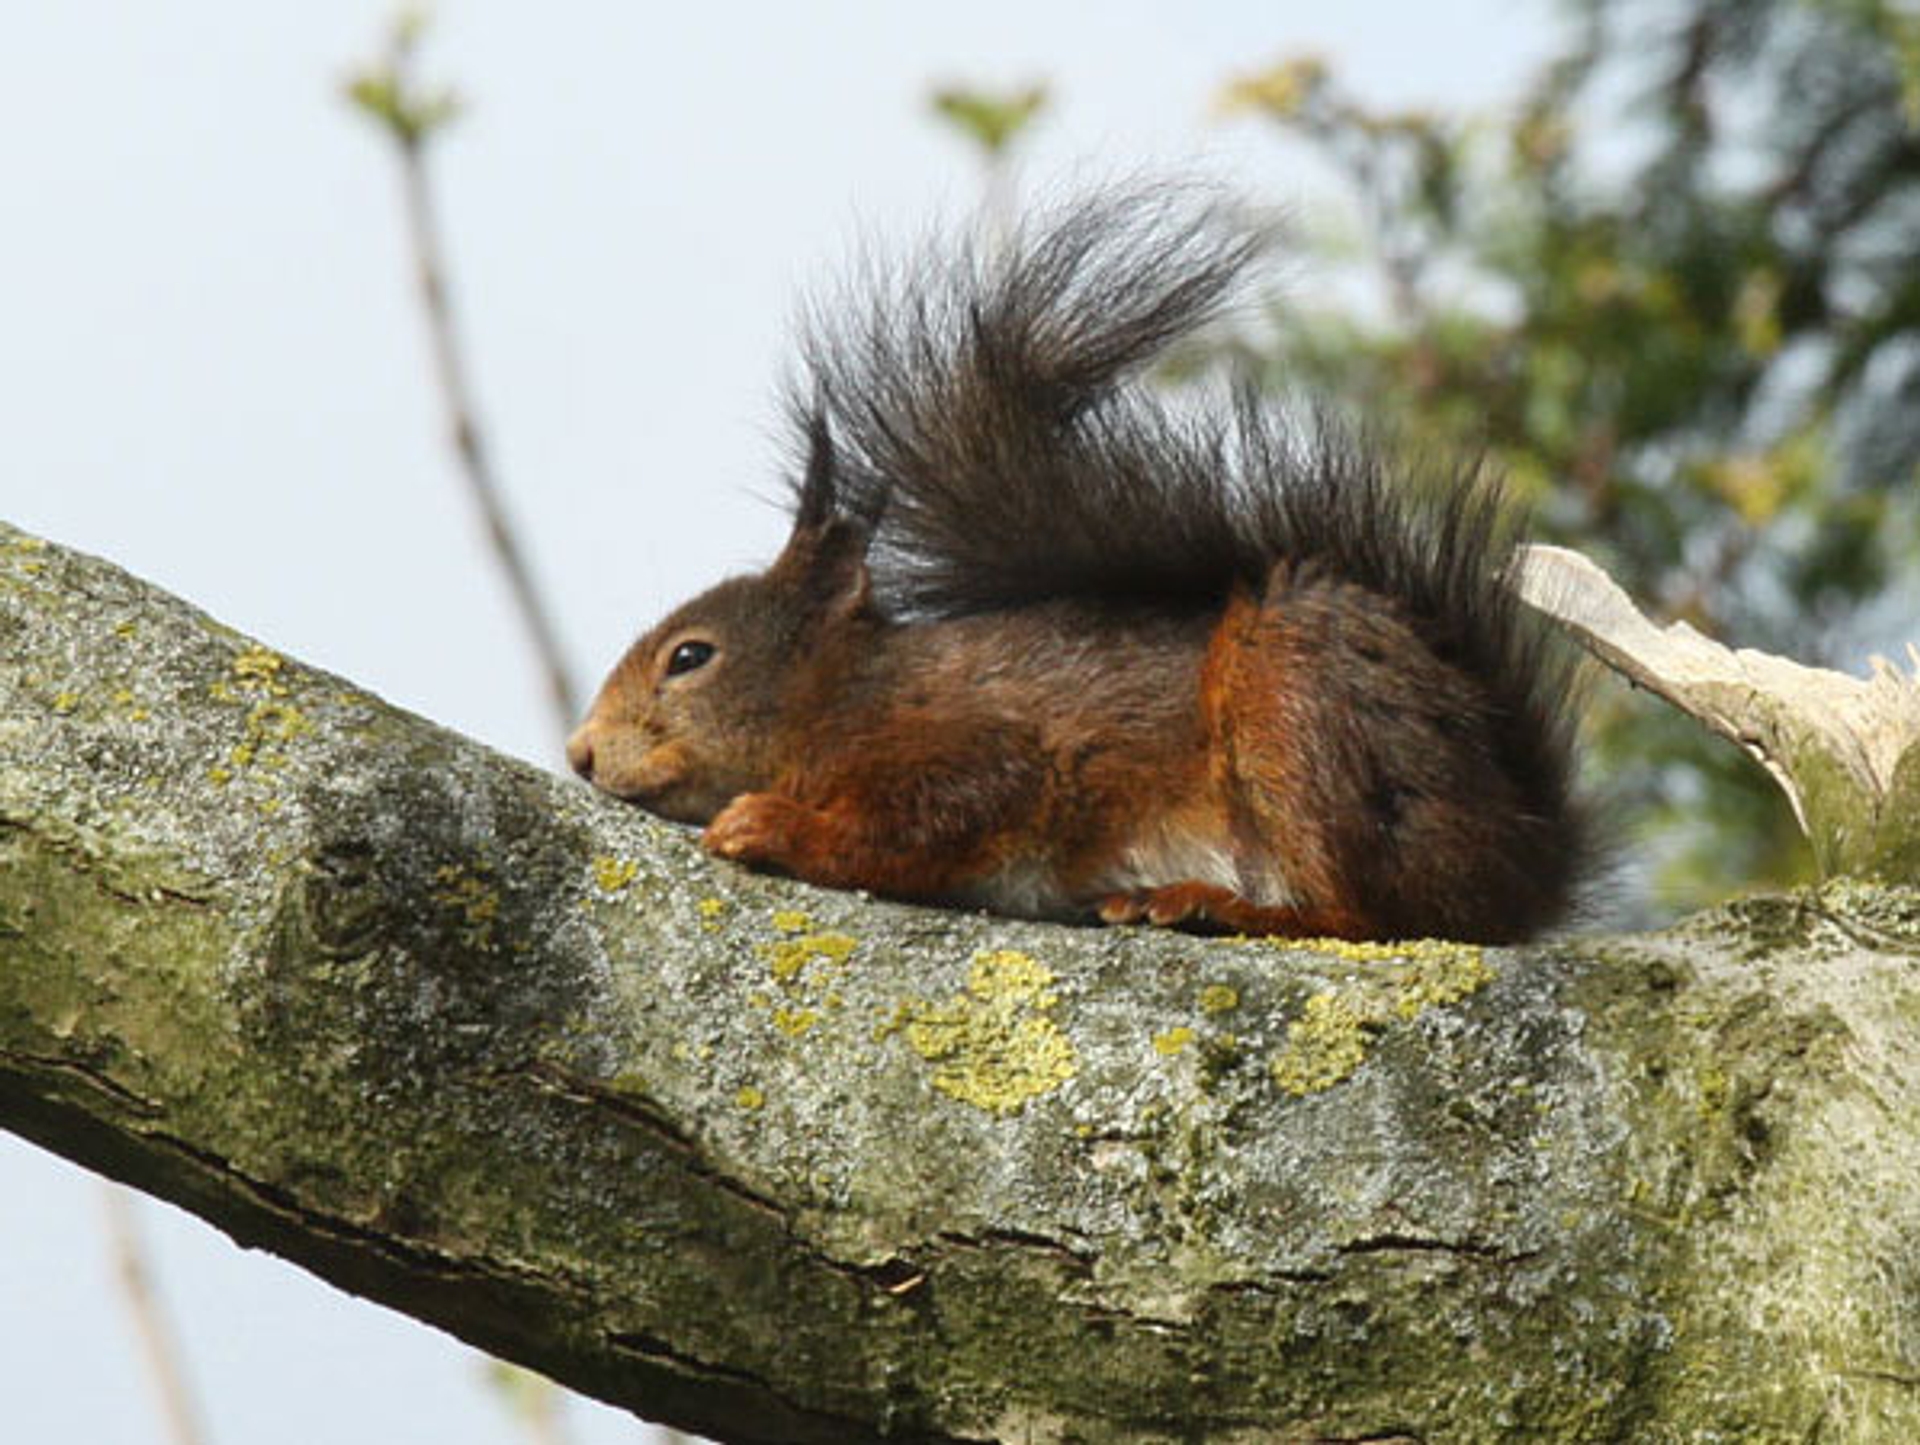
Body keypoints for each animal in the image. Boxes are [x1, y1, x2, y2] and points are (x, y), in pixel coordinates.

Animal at [564, 189, 1589, 936]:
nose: (578, 754)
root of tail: (1526, 857)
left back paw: (1211, 904)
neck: (845, 696)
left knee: (1370, 914)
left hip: (1297, 706)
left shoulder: (980, 748)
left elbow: (927, 818)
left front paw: (771, 824)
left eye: (690, 657)